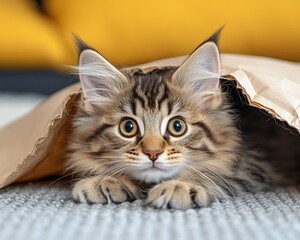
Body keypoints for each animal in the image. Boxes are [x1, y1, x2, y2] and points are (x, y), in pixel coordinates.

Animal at [67, 31, 274, 209]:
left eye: (177, 126)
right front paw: (106, 180)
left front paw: (181, 186)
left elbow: (212, 174)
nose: (153, 153)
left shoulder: (254, 165)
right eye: (128, 127)